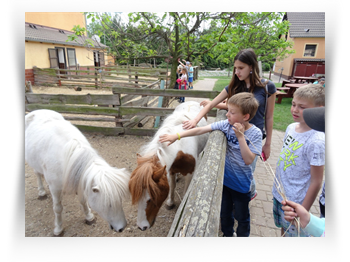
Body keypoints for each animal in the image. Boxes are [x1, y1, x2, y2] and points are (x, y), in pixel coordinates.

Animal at [130, 101, 209, 230]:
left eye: (151, 199)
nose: (142, 227)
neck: (180, 147)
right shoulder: (170, 169)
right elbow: (172, 186)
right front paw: (170, 203)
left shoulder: (190, 173)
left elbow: (185, 190)